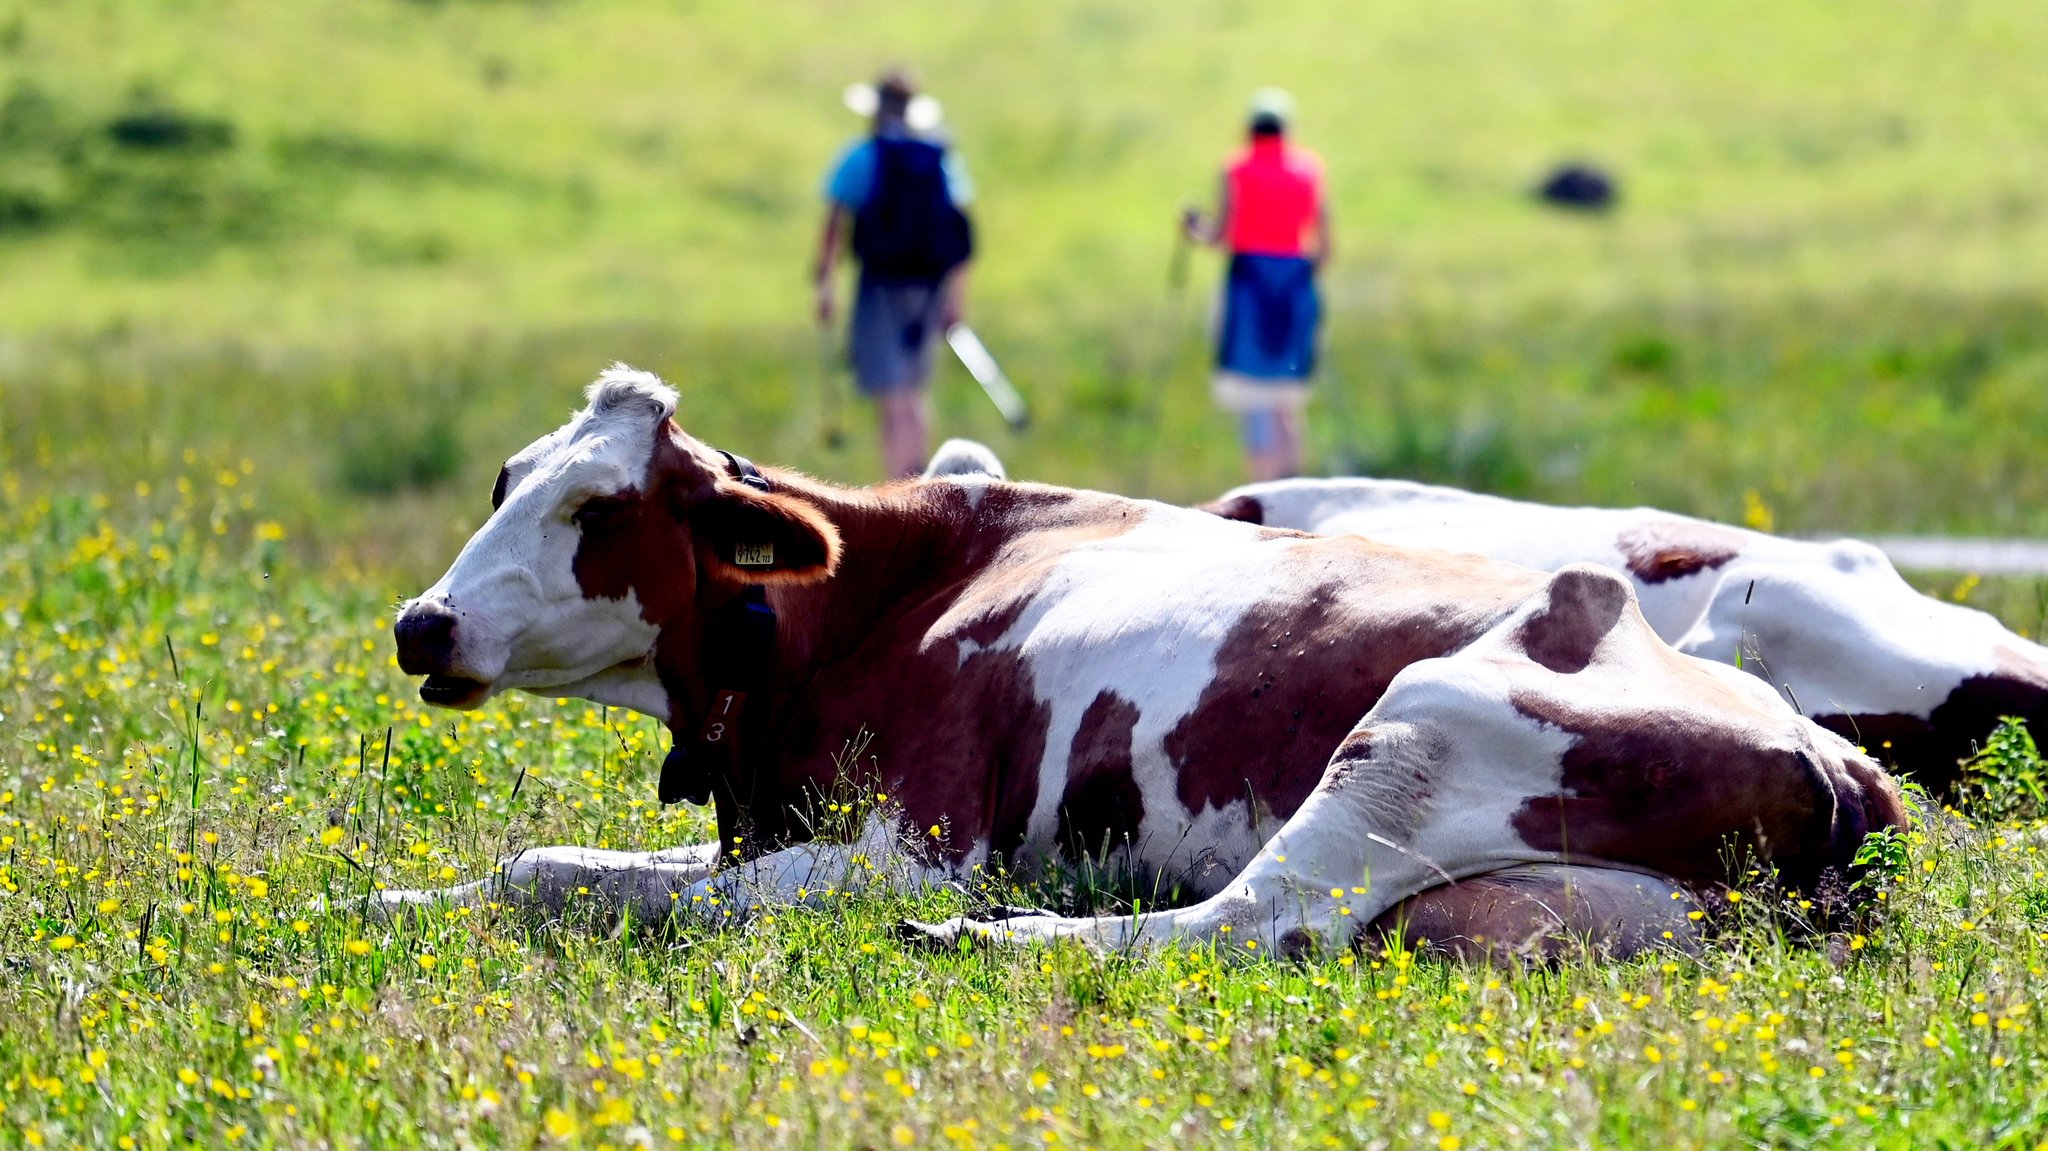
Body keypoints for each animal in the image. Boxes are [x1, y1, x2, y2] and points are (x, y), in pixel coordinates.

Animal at [387, 368, 1900, 958]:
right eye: (508, 477)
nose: (420, 622)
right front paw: (387, 897)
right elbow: (541, 871)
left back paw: (984, 941)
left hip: (1416, 726)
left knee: (1242, 922)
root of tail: (1836, 758)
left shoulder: (908, 844)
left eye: (597, 509)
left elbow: (666, 898)